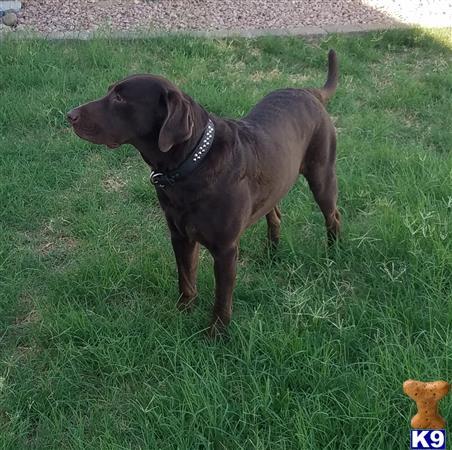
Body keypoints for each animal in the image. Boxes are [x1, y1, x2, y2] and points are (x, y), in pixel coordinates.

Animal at [68, 50, 340, 338]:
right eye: (110, 91)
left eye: (120, 98)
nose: (69, 115)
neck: (192, 163)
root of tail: (309, 91)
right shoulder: (180, 236)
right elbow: (186, 278)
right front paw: (183, 314)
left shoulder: (225, 250)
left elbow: (222, 297)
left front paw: (216, 333)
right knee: (274, 213)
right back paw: (272, 252)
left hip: (322, 175)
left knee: (333, 215)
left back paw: (333, 253)